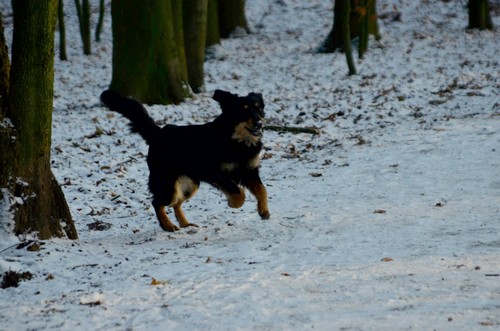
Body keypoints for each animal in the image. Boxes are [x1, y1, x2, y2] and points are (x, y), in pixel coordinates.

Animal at [98, 89, 270, 232]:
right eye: (243, 109)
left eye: (259, 108)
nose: (259, 123)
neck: (237, 140)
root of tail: (159, 133)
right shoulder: (215, 172)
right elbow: (238, 191)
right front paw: (233, 203)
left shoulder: (249, 170)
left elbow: (262, 190)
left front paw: (263, 211)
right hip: (167, 184)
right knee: (158, 202)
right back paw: (168, 226)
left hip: (190, 184)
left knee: (176, 203)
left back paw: (185, 224)